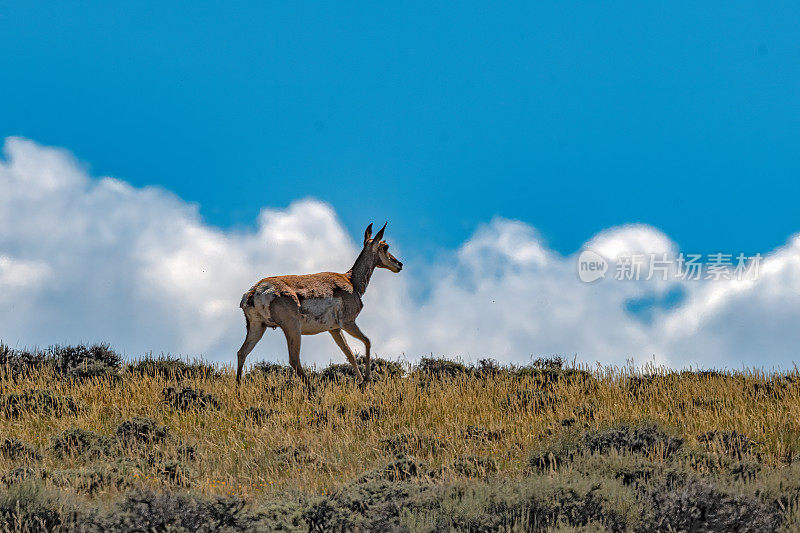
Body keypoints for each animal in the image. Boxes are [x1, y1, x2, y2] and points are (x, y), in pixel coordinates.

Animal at [236, 222, 400, 384]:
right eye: (385, 246)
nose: (400, 264)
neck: (351, 281)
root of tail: (256, 289)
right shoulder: (348, 323)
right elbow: (367, 342)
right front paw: (366, 380)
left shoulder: (334, 329)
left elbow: (350, 354)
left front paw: (361, 382)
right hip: (292, 328)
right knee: (294, 360)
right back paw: (312, 389)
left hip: (258, 327)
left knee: (241, 353)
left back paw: (238, 387)